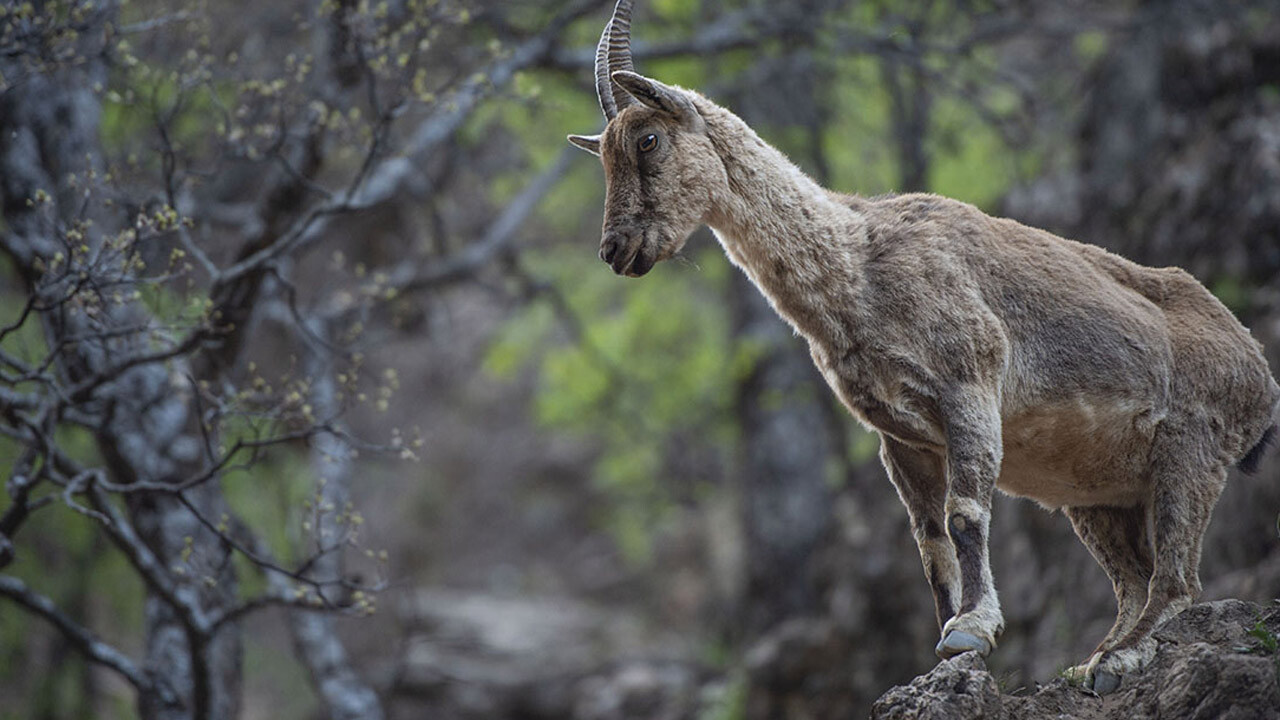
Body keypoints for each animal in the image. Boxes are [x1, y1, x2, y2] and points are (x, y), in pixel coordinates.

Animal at [568, 0, 1280, 696]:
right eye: (602, 155)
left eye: (649, 138)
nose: (615, 250)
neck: (856, 269)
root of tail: (1260, 377)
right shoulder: (901, 439)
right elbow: (931, 545)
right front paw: (943, 654)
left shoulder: (969, 388)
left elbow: (965, 515)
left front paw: (972, 630)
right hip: (1100, 494)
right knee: (1133, 579)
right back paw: (1092, 663)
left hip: (1189, 453)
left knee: (1177, 581)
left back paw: (1121, 659)